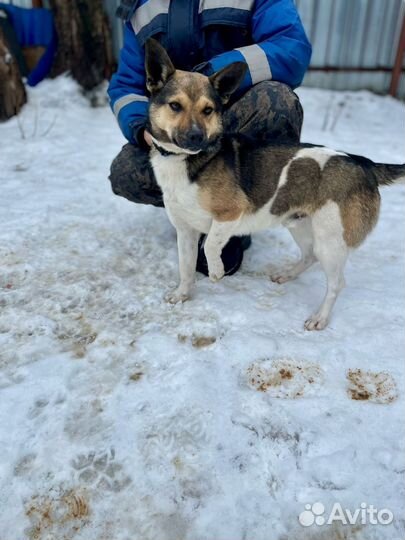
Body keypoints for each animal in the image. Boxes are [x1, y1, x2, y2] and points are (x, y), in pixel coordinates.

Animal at [145, 39, 404, 330]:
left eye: (208, 110)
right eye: (175, 106)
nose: (195, 137)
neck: (186, 160)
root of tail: (364, 165)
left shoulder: (230, 215)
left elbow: (210, 244)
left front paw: (216, 271)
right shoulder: (185, 230)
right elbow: (186, 267)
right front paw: (182, 294)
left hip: (331, 241)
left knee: (337, 283)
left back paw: (320, 317)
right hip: (299, 224)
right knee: (309, 256)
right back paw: (288, 274)